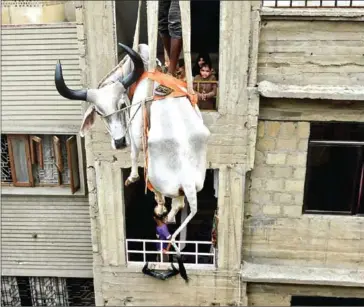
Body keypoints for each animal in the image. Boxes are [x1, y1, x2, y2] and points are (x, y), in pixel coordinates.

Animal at [55, 42, 212, 255]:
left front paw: (132, 177)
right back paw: (167, 215)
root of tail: (187, 181)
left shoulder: (135, 134)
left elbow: (134, 155)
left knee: (160, 192)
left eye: (121, 104)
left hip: (158, 176)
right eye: (99, 112)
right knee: (178, 204)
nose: (119, 141)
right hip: (188, 185)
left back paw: (160, 209)